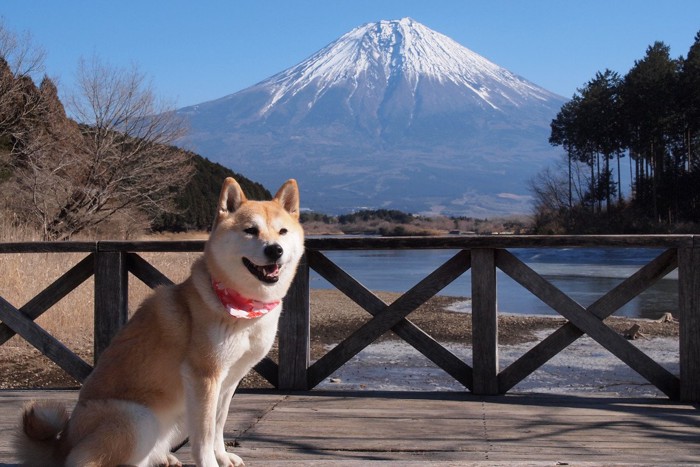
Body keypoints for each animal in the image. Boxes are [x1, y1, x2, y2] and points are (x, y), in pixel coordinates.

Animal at [14, 177, 304, 466]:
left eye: (282, 232)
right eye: (250, 230)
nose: (275, 250)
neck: (244, 306)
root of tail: (63, 444)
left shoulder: (229, 381)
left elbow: (219, 425)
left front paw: (222, 456)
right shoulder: (204, 377)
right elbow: (205, 434)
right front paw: (210, 462)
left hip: (174, 418)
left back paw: (164, 457)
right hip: (138, 417)